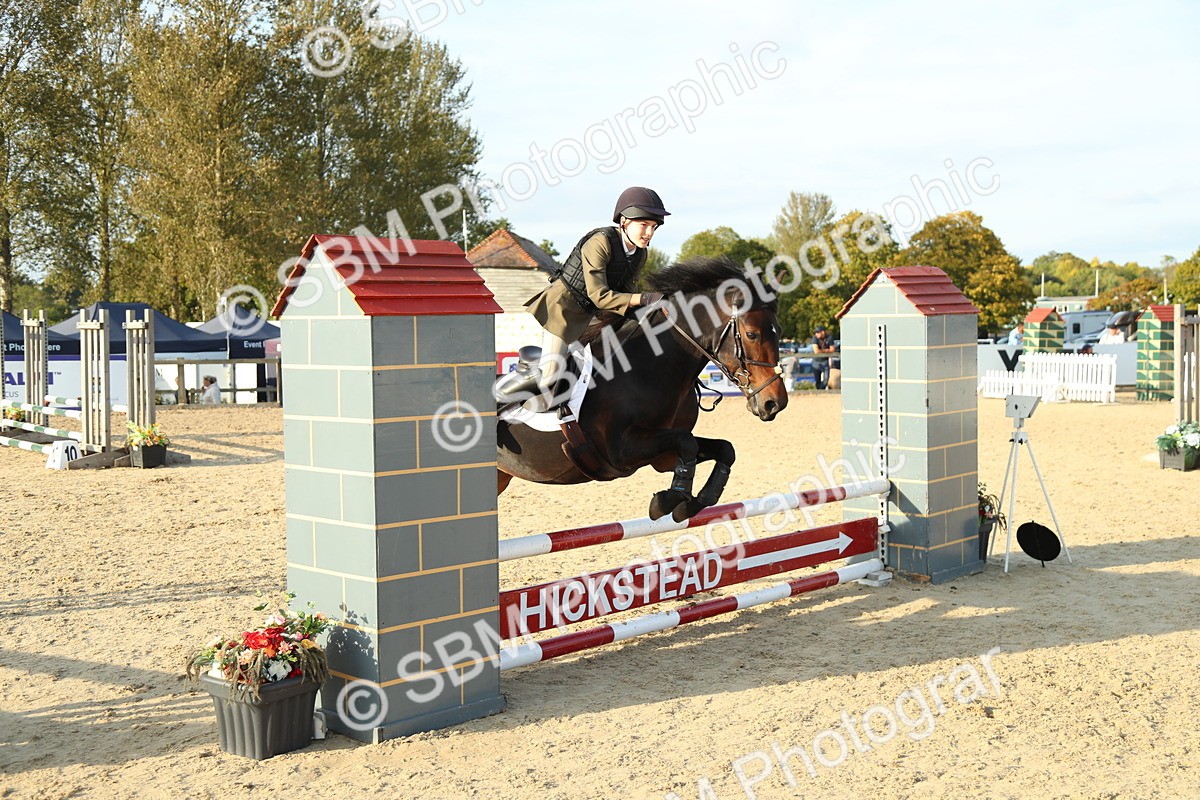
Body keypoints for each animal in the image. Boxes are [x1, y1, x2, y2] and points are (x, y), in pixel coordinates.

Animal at [496, 256, 789, 522]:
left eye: (778, 330)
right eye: (752, 334)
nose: (775, 403)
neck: (651, 365)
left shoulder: (664, 456)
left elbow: (721, 449)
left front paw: (692, 503)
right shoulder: (620, 450)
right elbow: (688, 444)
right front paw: (666, 502)